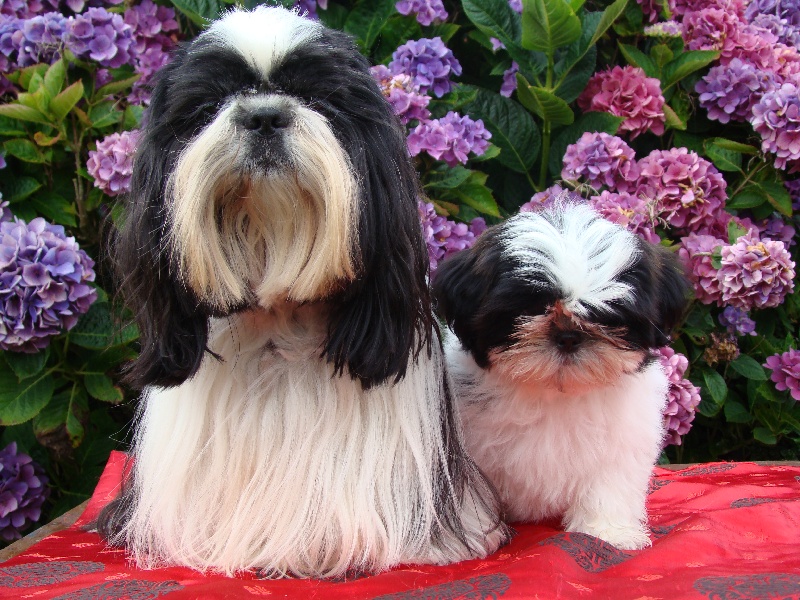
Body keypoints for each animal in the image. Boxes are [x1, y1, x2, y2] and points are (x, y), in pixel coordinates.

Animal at [432, 201, 690, 550]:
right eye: (529, 309)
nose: (568, 336)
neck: (553, 392)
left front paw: (607, 532)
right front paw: (470, 533)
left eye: (607, 315)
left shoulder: (622, 442)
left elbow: (609, 483)